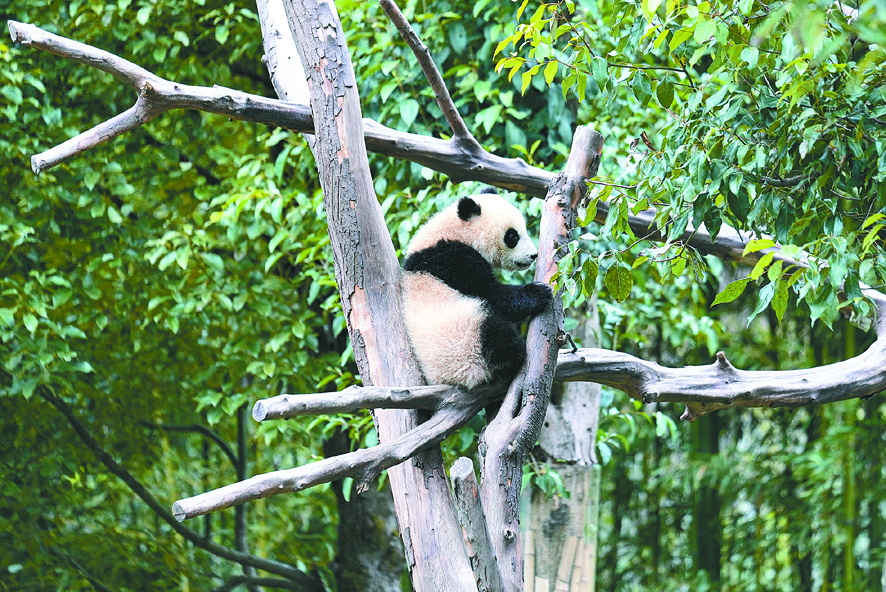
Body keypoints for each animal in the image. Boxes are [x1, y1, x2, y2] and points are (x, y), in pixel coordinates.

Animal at [401, 190, 553, 389]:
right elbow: (491, 293)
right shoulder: (452, 260)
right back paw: (512, 356)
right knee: (494, 333)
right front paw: (539, 293)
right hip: (465, 338)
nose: (533, 255)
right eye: (512, 236)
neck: (454, 232)